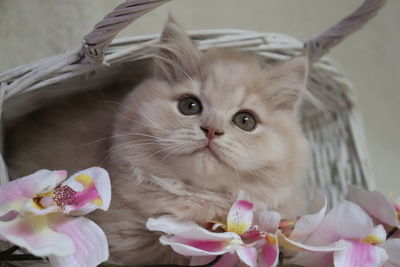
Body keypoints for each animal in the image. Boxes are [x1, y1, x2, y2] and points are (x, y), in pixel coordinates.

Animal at [92, 18, 310, 266]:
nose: (212, 130)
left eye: (245, 120)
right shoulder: (122, 236)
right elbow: (163, 249)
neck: (199, 199)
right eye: (190, 105)